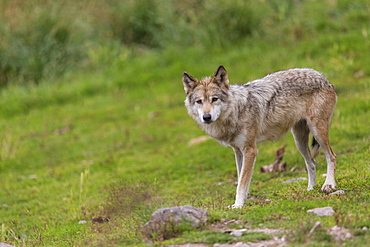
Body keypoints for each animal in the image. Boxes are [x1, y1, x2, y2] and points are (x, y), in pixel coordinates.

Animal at [182, 64, 338, 207]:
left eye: (214, 99)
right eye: (199, 101)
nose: (206, 117)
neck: (236, 111)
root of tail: (322, 77)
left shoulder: (250, 150)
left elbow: (242, 183)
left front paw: (238, 205)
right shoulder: (238, 151)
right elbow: (241, 178)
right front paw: (242, 201)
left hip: (318, 132)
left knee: (331, 156)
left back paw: (328, 185)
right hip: (299, 141)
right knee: (311, 162)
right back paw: (310, 189)